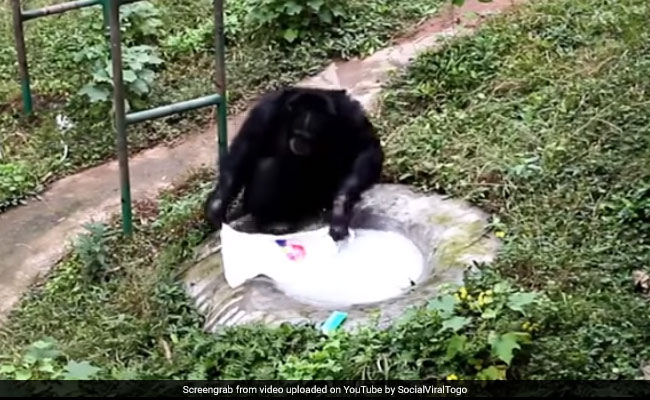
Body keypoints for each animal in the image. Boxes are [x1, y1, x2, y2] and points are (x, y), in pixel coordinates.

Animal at [204, 86, 383, 242]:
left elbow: (367, 149)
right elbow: (244, 148)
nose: (300, 142)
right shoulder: (266, 110)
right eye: (298, 132)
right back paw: (273, 222)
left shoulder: (352, 114)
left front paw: (340, 206)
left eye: (310, 136)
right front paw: (217, 206)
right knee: (267, 166)